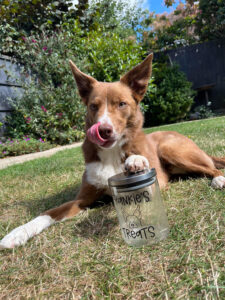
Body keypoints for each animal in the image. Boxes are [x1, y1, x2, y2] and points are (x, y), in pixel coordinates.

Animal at [0, 53, 225, 248]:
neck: (111, 154)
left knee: (212, 167)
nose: (103, 130)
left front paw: (135, 161)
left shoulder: (156, 183)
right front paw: (18, 233)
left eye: (122, 104)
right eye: (93, 106)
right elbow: (49, 213)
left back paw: (218, 179)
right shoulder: (82, 199)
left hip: (171, 149)